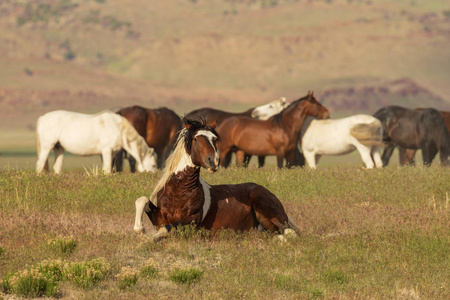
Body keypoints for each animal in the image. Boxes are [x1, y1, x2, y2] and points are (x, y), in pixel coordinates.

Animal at [134, 118, 298, 241]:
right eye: (195, 138)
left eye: (215, 139)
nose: (214, 161)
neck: (178, 192)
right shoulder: (160, 216)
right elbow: (142, 200)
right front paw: (141, 230)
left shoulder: (192, 221)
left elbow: (166, 229)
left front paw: (149, 238)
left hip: (266, 208)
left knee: (290, 233)